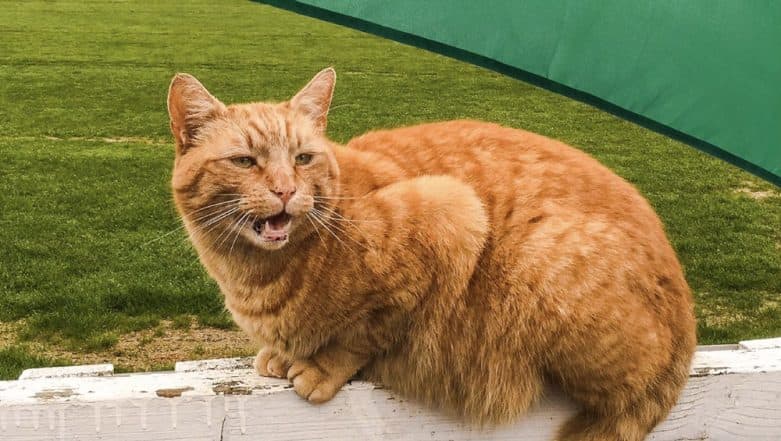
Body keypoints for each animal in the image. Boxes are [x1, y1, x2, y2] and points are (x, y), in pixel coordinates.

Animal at [168, 67, 696, 438]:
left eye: (303, 158)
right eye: (244, 161)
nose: (284, 190)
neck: (255, 276)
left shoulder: (452, 213)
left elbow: (367, 330)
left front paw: (321, 364)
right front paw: (280, 353)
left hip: (537, 267)